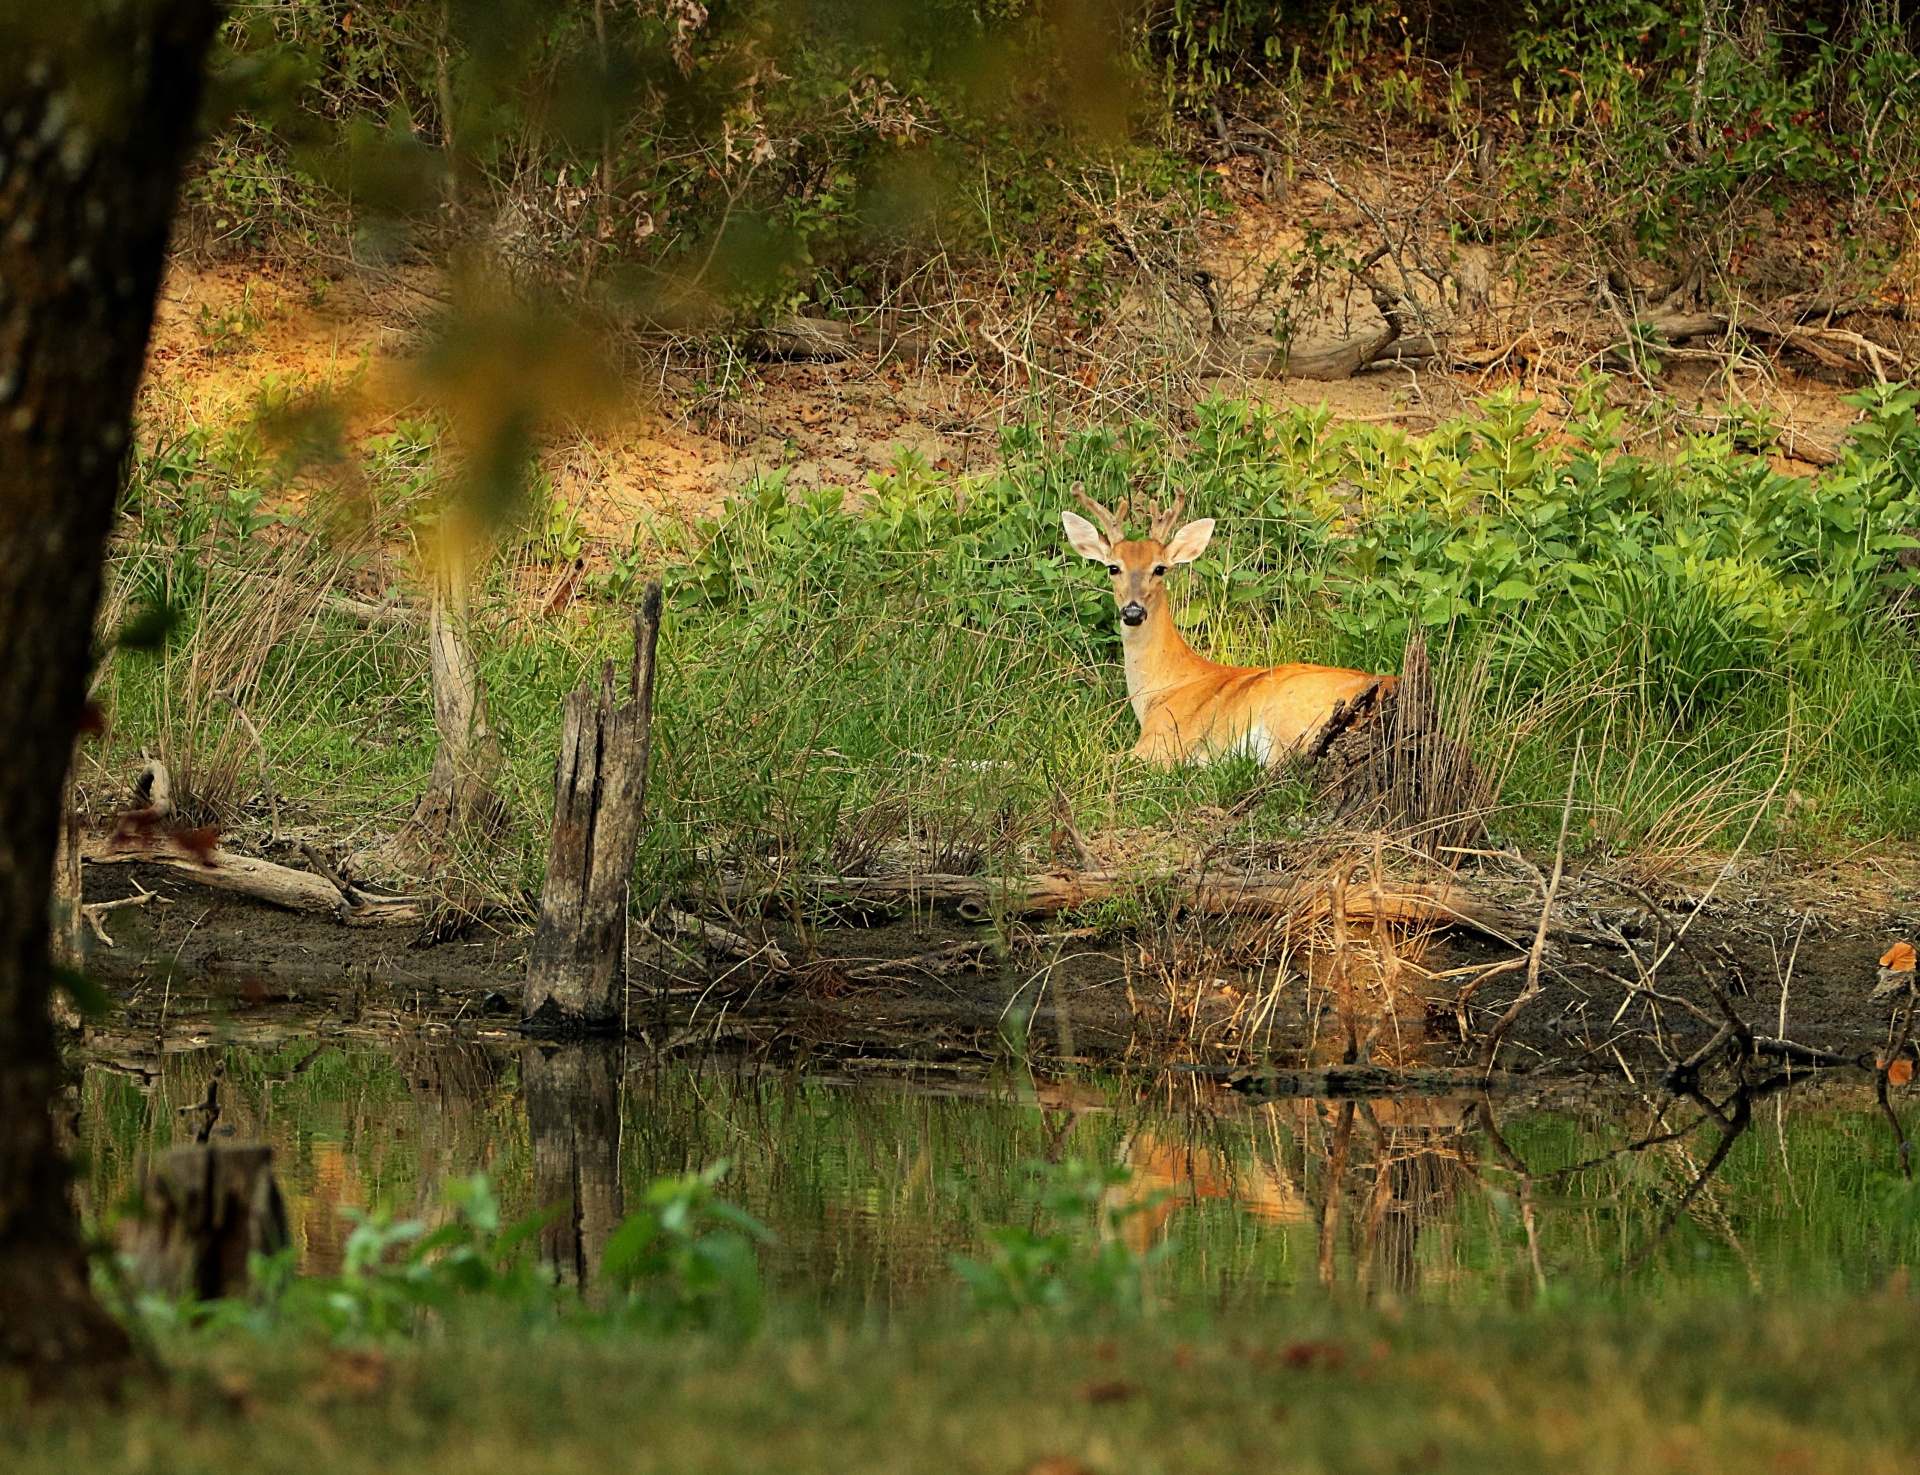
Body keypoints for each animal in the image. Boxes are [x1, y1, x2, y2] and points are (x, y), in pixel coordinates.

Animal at [1067, 487, 1397, 768]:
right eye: (1113, 567)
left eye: (1160, 568)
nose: (1133, 612)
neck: (1161, 687)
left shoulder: (1162, 741)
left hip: (1289, 714)